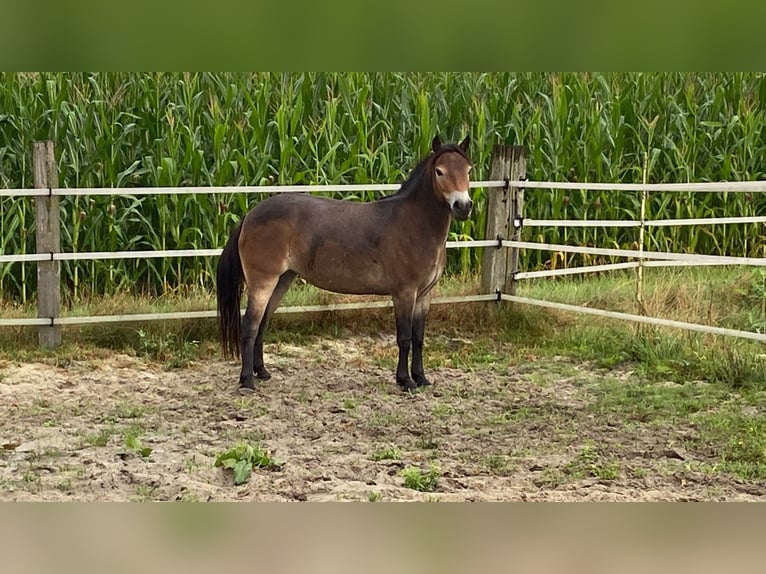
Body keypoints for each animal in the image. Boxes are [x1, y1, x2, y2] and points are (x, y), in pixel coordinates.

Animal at [216, 136, 476, 396]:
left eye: (468, 170)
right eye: (439, 171)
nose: (463, 206)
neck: (414, 224)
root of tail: (250, 215)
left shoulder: (424, 295)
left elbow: (419, 338)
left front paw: (421, 377)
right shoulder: (404, 293)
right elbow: (404, 338)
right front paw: (405, 381)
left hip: (282, 280)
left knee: (262, 325)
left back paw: (262, 372)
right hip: (263, 282)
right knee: (250, 327)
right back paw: (247, 381)